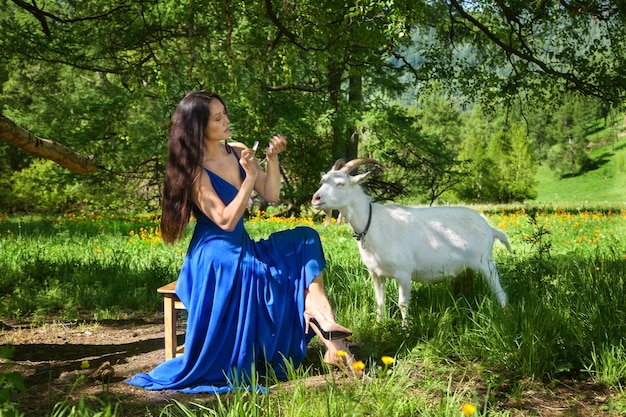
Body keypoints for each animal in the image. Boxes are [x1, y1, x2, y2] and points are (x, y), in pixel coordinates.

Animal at [310, 158, 510, 324]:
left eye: (341, 183)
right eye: (322, 181)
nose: (315, 198)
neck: (373, 224)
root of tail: (488, 227)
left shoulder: (403, 273)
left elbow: (403, 303)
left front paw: (404, 329)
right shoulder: (376, 274)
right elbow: (379, 301)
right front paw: (378, 326)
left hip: (485, 262)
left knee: (499, 290)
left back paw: (503, 314)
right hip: (467, 268)